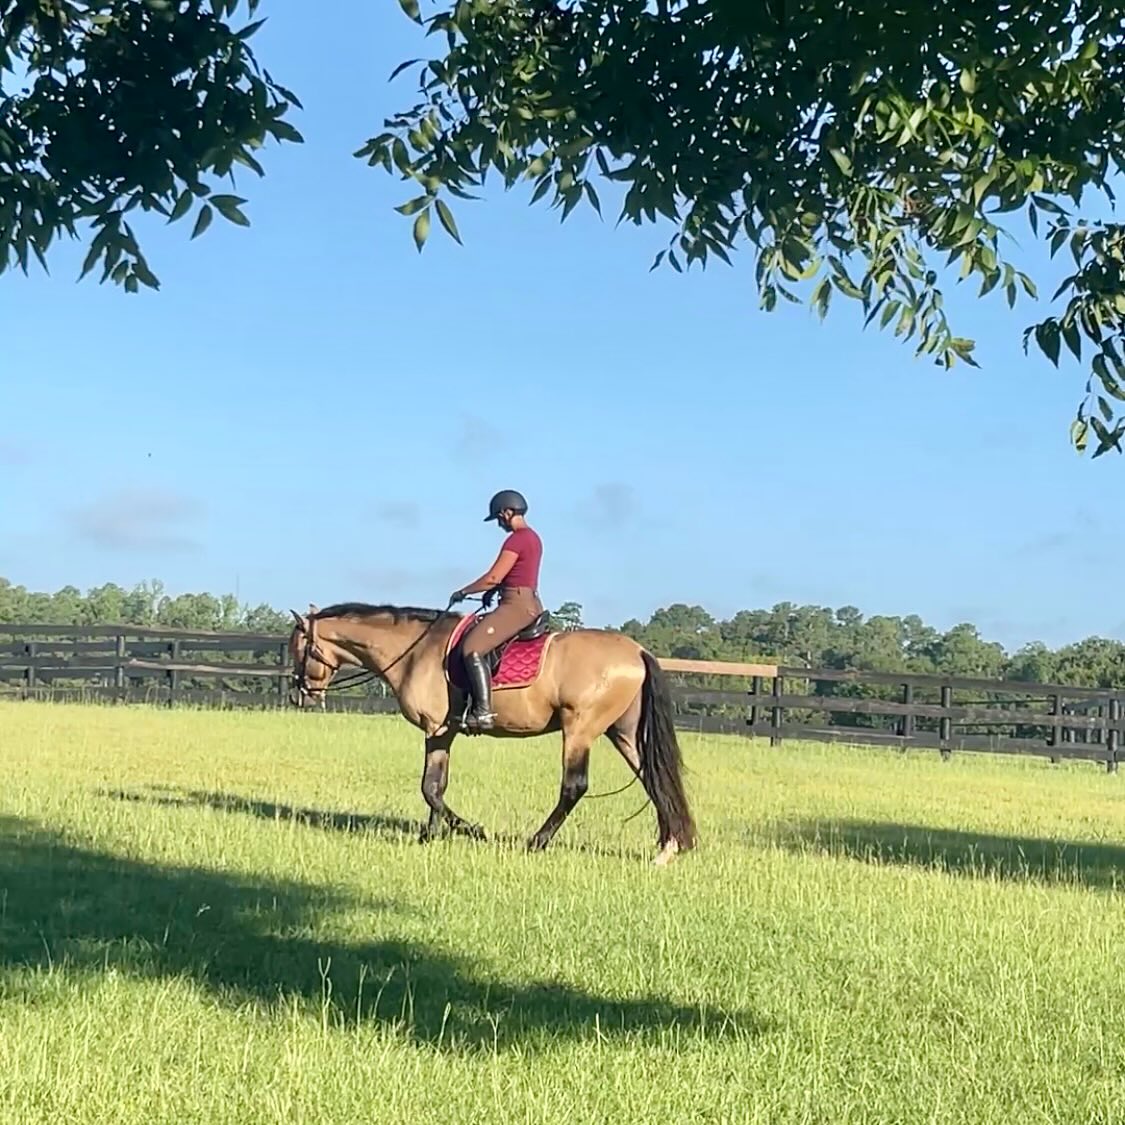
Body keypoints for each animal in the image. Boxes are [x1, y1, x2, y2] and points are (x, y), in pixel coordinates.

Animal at [286, 601, 696, 865]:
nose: (298, 695)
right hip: (622, 732)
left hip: (580, 729)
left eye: (299, 650)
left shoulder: (436, 729)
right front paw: (429, 837)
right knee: (654, 779)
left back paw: (537, 842)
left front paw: (473, 830)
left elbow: (430, 788)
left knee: (575, 787)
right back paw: (669, 848)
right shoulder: (442, 732)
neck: (415, 651)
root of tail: (637, 651)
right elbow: (435, 786)